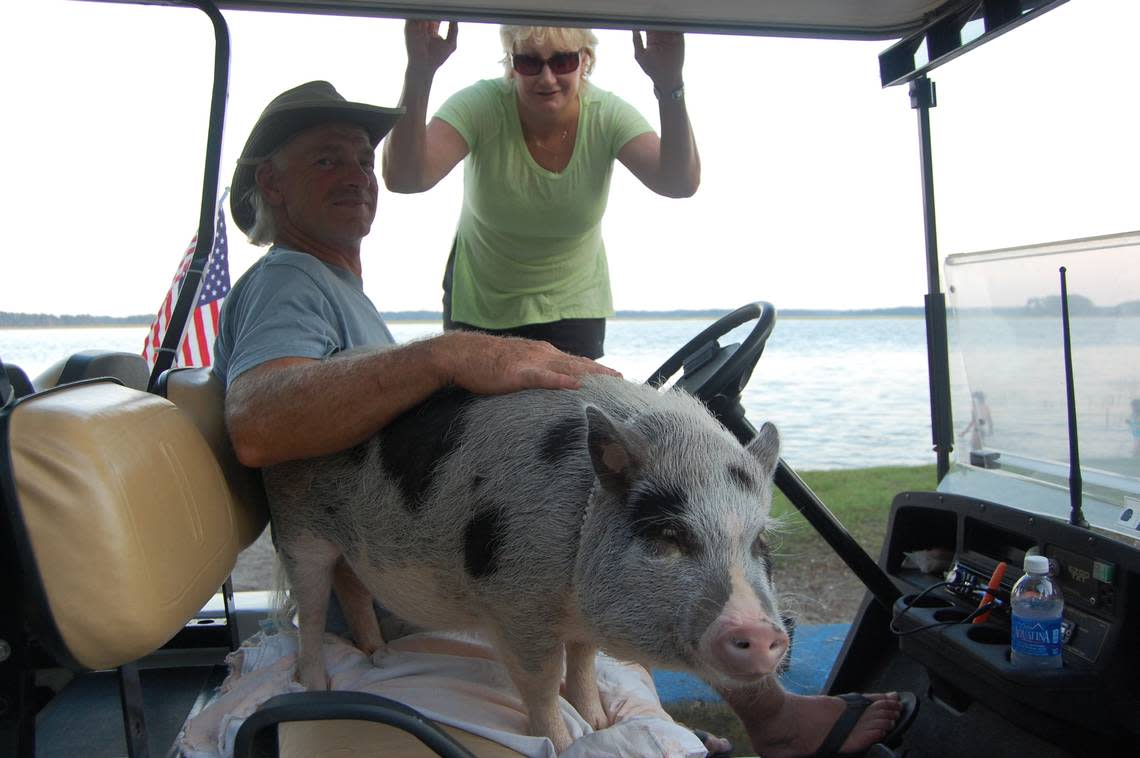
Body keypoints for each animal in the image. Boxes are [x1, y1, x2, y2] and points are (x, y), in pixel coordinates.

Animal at [262, 371, 788, 752]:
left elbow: (583, 662)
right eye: (669, 535)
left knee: (350, 586)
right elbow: (541, 682)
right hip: (298, 530)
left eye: (759, 542)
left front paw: (599, 722)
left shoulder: (575, 614)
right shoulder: (515, 601)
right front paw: (565, 742)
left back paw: (375, 654)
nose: (762, 632)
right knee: (310, 610)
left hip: (350, 547)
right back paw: (316, 685)